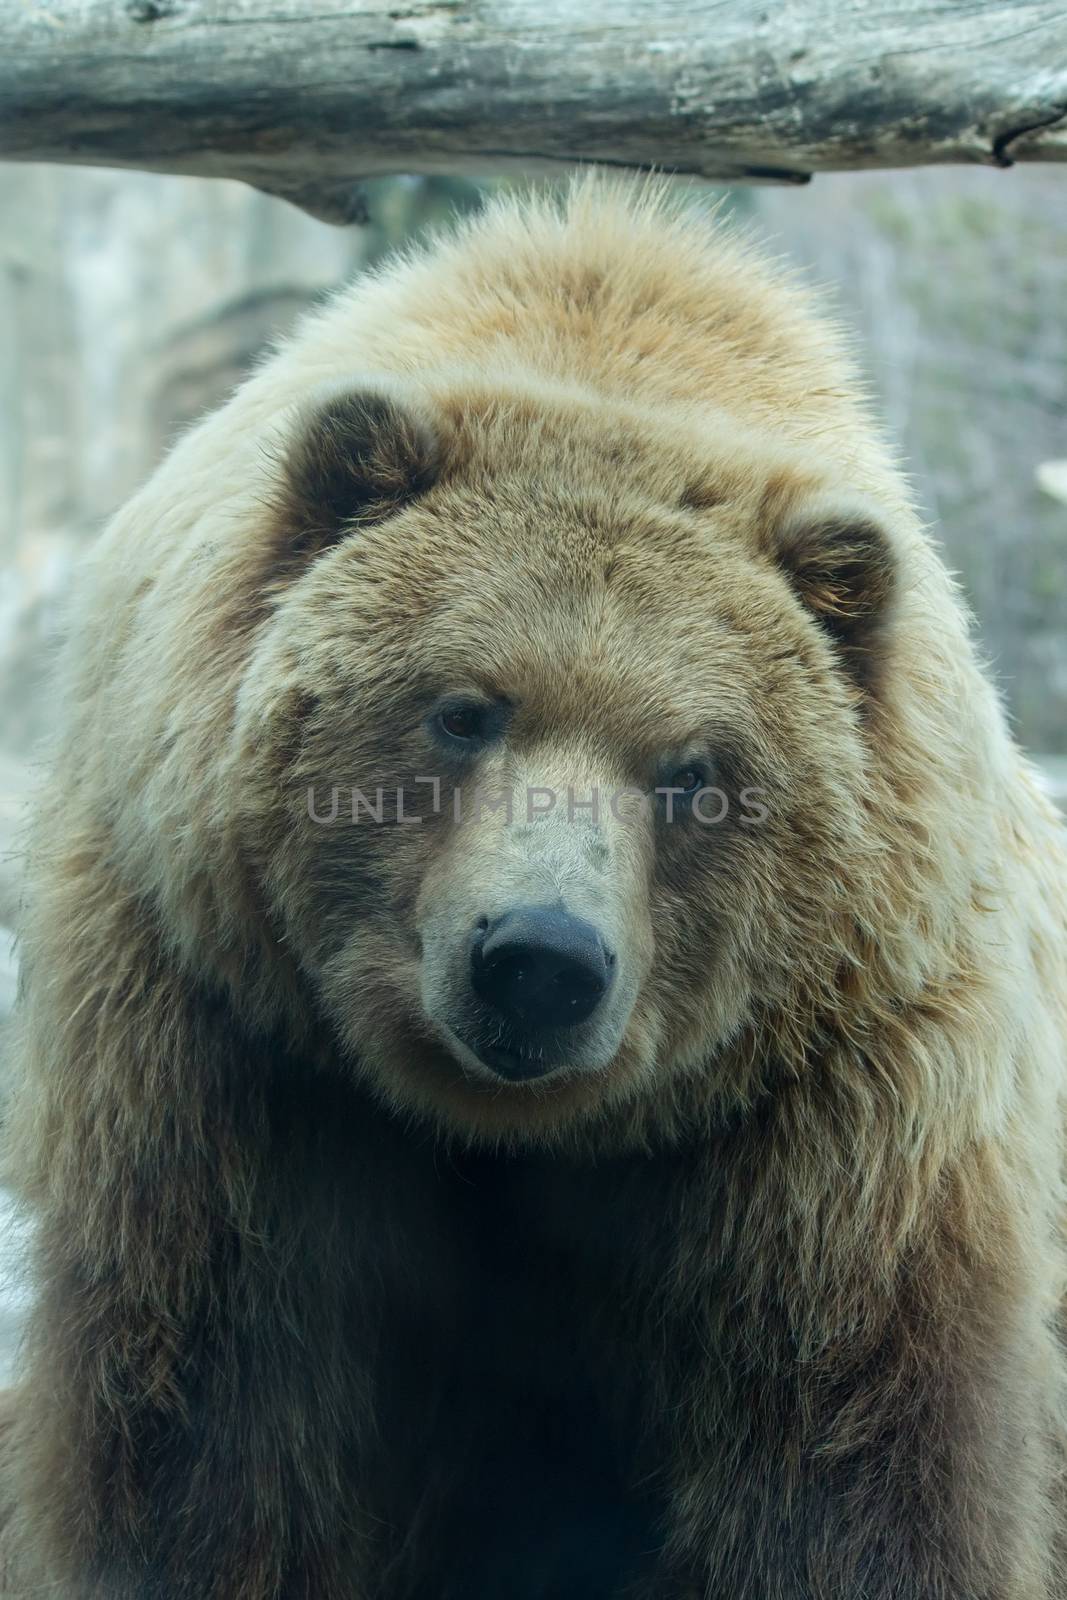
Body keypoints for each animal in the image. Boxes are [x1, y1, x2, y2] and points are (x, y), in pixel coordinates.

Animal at [2, 181, 1067, 1593]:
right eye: (464, 709)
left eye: (691, 769)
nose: (539, 962)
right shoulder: (222, 1061)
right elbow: (209, 1450)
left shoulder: (836, 1143)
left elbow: (848, 1477)